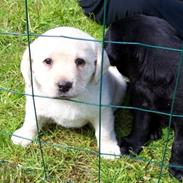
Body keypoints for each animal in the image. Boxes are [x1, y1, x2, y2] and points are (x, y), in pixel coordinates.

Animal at [11, 26, 126, 159]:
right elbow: (31, 121)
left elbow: (105, 131)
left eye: (80, 61)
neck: (67, 101)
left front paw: (108, 149)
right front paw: (24, 135)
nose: (64, 85)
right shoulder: (34, 103)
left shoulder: (103, 111)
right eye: (47, 61)